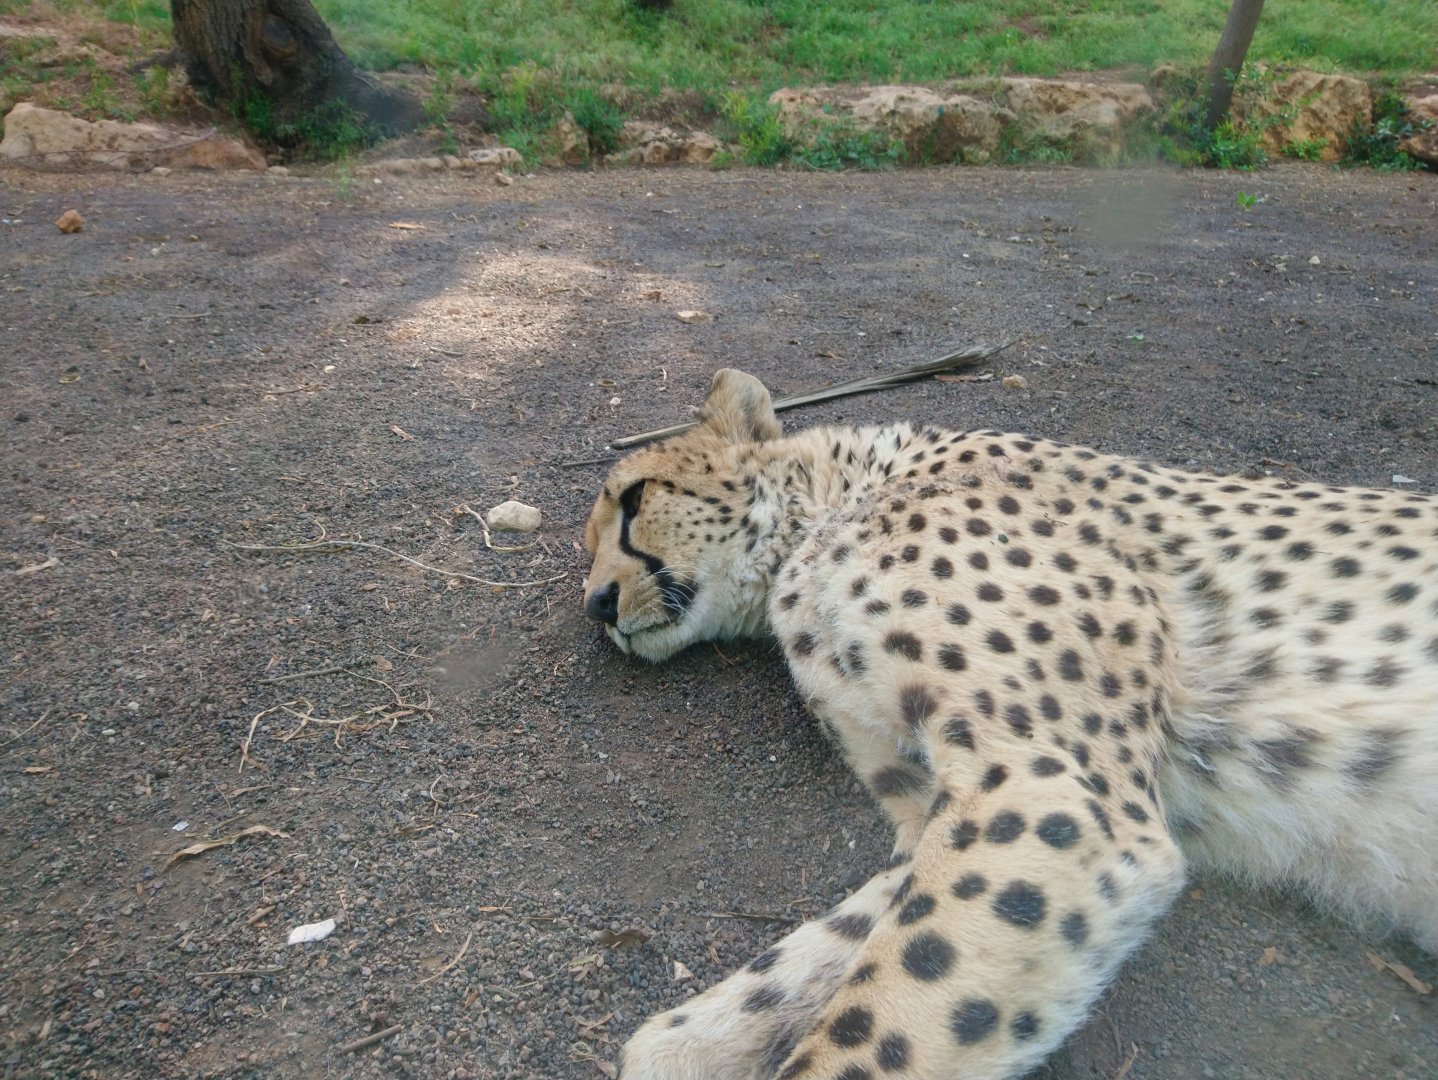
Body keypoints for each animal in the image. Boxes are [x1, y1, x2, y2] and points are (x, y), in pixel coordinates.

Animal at [581, 367, 1438, 1080]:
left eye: (634, 500)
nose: (595, 606)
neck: (836, 502)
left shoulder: (1053, 792)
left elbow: (874, 1023)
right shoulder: (946, 811)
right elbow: (823, 955)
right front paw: (695, 1041)